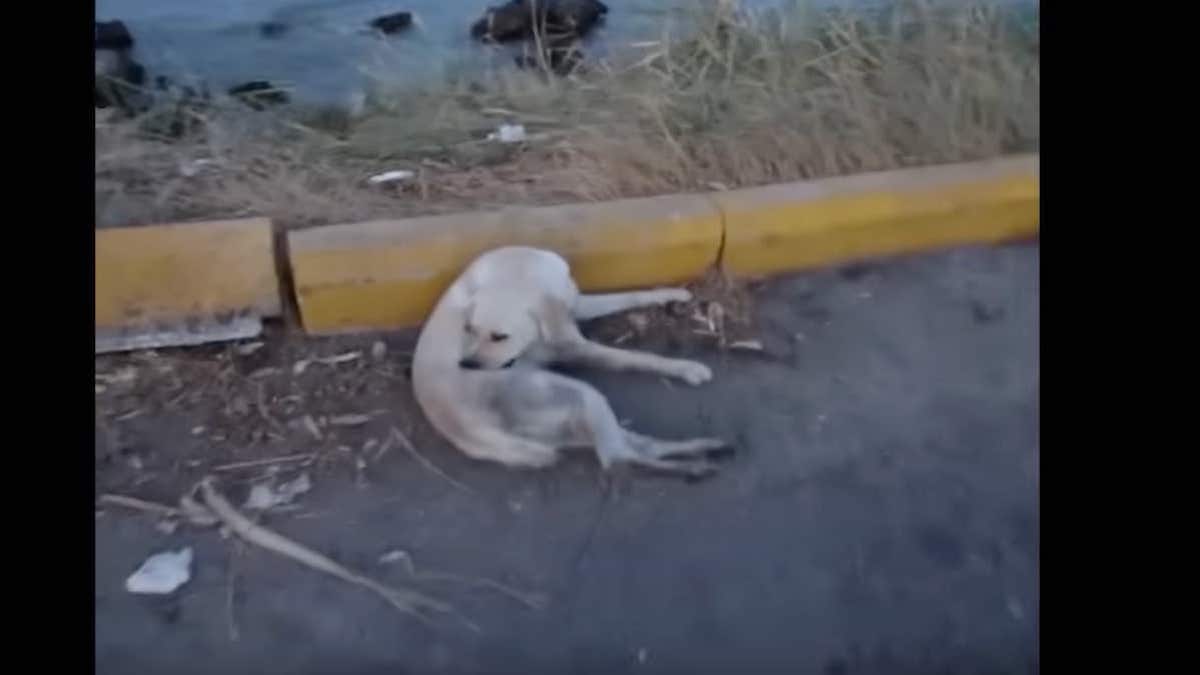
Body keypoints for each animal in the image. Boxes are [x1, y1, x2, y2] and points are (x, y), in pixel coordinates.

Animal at [412, 242, 729, 478]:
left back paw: (707, 447)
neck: (521, 270)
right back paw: (693, 465)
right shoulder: (574, 346)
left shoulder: (576, 304)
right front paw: (686, 368)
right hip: (577, 396)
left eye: (499, 336)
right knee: (616, 457)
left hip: (568, 420)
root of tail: (459, 427)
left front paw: (671, 293)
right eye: (469, 329)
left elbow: (629, 296)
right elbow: (636, 357)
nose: (466, 365)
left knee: (632, 445)